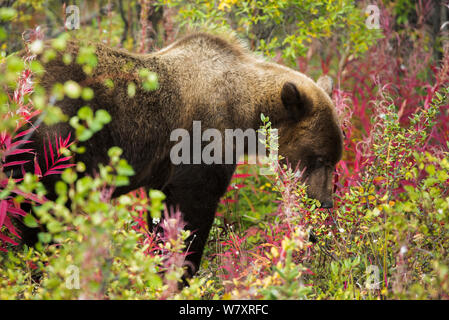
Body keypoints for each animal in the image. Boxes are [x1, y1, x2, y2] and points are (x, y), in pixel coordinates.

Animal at [13, 31, 344, 278]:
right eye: (319, 158)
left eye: (335, 158)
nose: (325, 202)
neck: (243, 112)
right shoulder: (200, 146)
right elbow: (191, 215)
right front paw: (180, 271)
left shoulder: (162, 174)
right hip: (52, 142)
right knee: (39, 213)